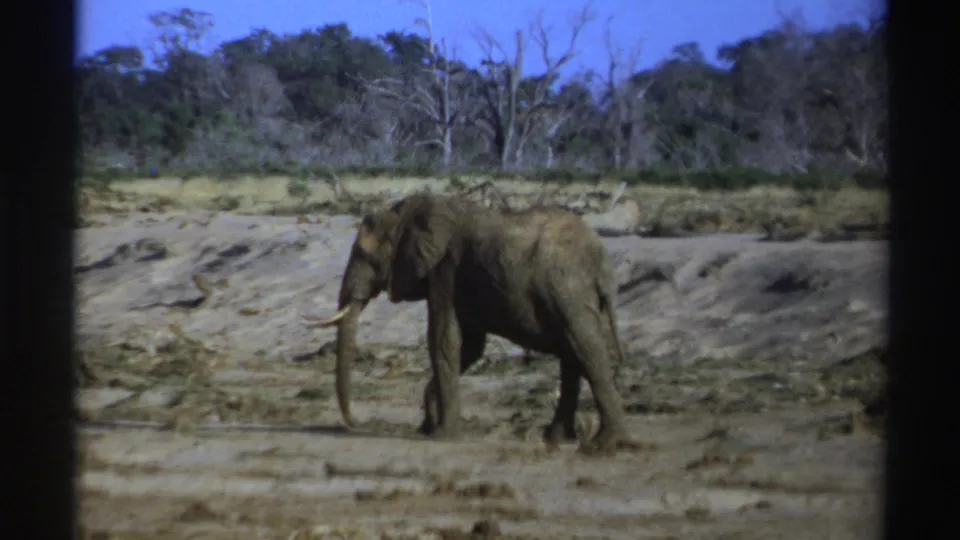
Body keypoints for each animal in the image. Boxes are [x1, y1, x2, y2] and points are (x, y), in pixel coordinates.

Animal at [305, 192, 630, 451]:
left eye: (363, 254)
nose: (355, 422)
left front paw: (441, 435)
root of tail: (601, 260)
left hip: (567, 290)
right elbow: (470, 346)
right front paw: (429, 426)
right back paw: (556, 439)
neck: (409, 212)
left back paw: (604, 444)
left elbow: (444, 338)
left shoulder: (444, 270)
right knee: (572, 356)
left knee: (586, 349)